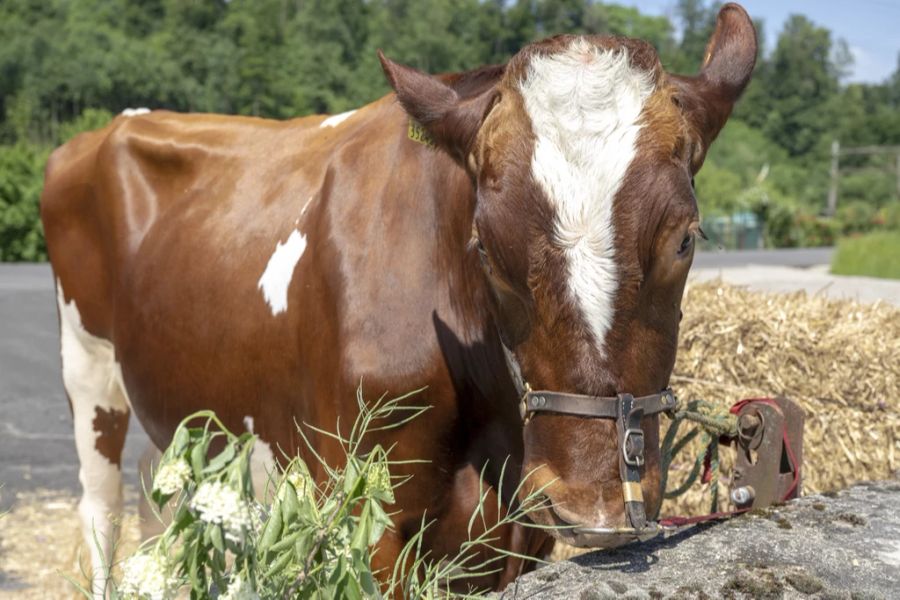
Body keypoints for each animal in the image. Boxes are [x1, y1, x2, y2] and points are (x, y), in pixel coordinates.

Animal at [42, 3, 756, 596]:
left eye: (685, 239)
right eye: (486, 248)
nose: (597, 501)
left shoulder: (519, 527)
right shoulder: (364, 510)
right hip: (86, 366)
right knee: (100, 507)